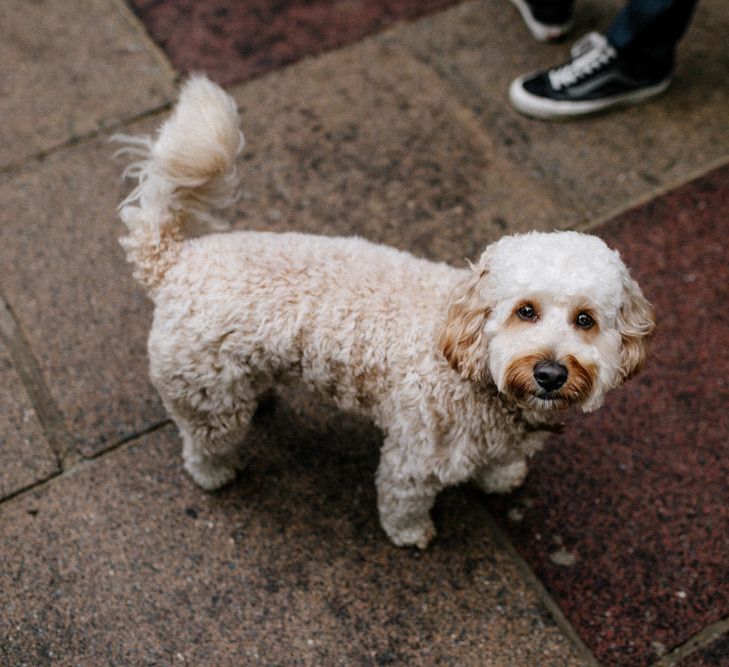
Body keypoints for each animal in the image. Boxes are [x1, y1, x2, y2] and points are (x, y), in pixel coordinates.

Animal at [118, 75, 656, 552]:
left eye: (586, 320)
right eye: (525, 311)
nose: (550, 373)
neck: (471, 366)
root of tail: (173, 261)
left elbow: (498, 465)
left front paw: (503, 478)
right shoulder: (414, 457)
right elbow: (402, 502)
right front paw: (411, 535)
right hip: (208, 399)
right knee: (203, 445)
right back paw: (216, 475)